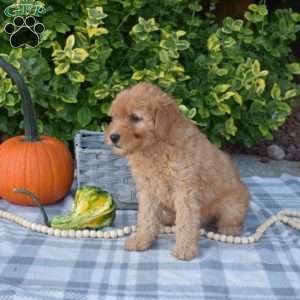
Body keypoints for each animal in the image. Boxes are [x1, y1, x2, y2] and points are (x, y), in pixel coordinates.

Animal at [104, 82, 250, 260]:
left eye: (135, 118)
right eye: (113, 118)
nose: (113, 137)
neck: (154, 147)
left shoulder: (184, 188)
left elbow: (186, 221)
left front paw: (185, 249)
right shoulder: (148, 189)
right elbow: (146, 217)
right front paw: (141, 240)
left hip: (232, 204)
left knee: (234, 218)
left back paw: (230, 229)